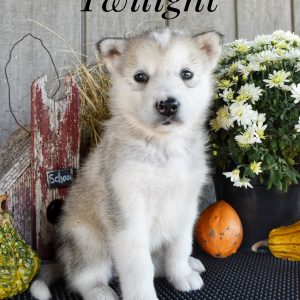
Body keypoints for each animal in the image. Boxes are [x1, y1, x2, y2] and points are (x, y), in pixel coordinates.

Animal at [31, 28, 223, 300]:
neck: (162, 147)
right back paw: (101, 292)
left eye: (186, 74)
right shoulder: (127, 213)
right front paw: (144, 295)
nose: (168, 105)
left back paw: (189, 265)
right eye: (140, 77)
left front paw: (182, 275)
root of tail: (64, 258)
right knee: (81, 278)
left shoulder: (185, 205)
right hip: (89, 241)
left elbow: (179, 246)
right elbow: (139, 267)